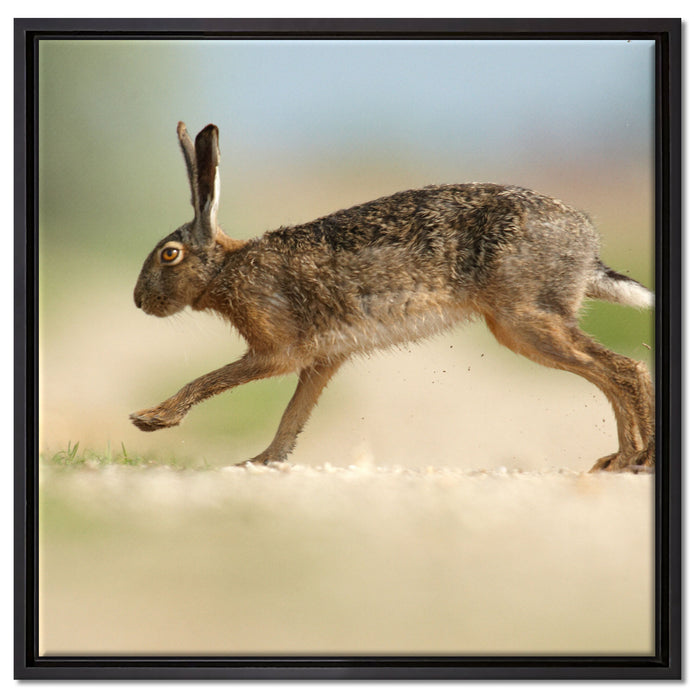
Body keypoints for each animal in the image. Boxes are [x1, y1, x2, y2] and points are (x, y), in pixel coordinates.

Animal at [131, 122, 655, 472]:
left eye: (169, 255)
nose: (138, 301)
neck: (225, 268)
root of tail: (587, 245)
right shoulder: (323, 359)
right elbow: (293, 416)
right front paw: (260, 462)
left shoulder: (277, 350)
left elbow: (213, 379)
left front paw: (151, 419)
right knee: (611, 374)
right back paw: (619, 458)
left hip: (523, 319)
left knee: (624, 370)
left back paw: (636, 458)